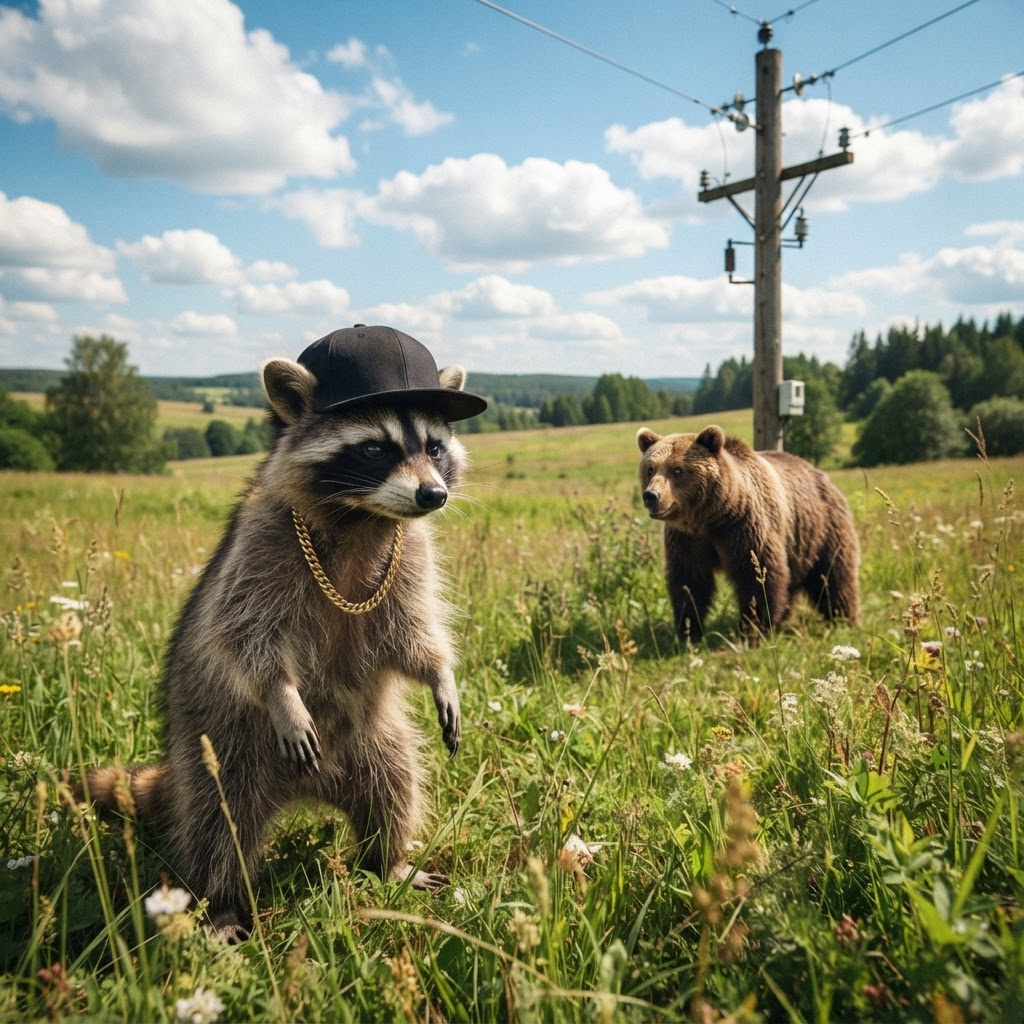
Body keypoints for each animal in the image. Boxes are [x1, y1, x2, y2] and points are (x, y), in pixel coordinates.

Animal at [636, 424, 860, 642]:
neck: (709, 518)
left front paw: (754, 629)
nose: (651, 496)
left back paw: (843, 619)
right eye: (650, 469)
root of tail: (823, 477)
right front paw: (688, 631)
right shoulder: (687, 539)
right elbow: (689, 581)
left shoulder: (743, 528)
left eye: (677, 470)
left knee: (833, 576)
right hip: (798, 544)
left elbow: (757, 577)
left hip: (822, 529)